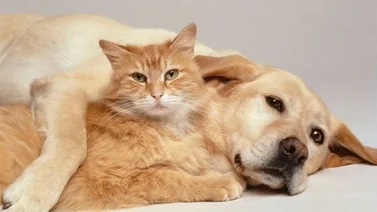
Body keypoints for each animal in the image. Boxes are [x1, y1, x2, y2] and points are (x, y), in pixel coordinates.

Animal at [0, 13, 374, 212]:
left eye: (317, 136)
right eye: (274, 102)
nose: (295, 151)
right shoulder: (62, 86)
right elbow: (71, 145)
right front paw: (34, 194)